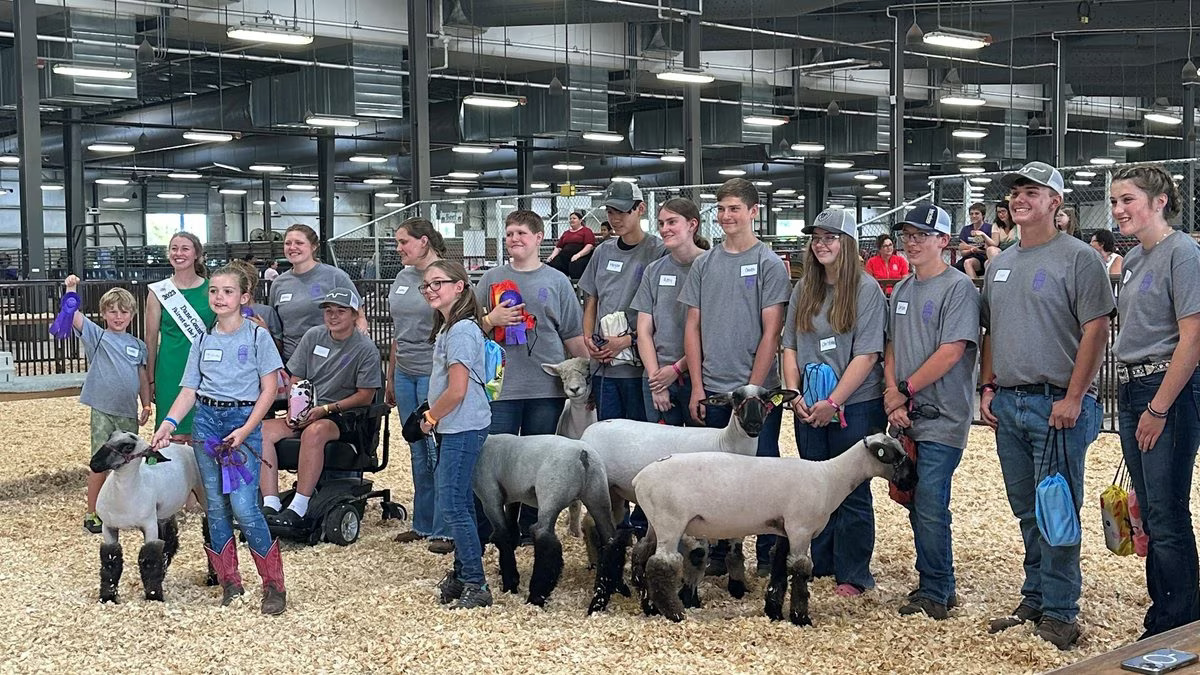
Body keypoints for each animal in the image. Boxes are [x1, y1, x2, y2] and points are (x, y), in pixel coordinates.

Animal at [91, 427, 206, 600]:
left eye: (128, 447)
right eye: (110, 436)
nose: (94, 463)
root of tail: (183, 447)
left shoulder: (149, 526)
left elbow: (149, 559)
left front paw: (153, 596)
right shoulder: (108, 527)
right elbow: (110, 561)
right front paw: (108, 597)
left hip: (203, 498)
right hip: (164, 512)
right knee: (169, 541)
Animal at [468, 429, 619, 610]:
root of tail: (583, 455)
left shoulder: (490, 498)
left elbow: (502, 536)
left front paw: (510, 583)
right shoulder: (514, 496)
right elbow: (511, 529)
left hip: (551, 494)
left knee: (544, 537)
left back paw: (536, 596)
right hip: (598, 494)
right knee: (610, 539)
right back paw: (603, 596)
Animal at [580, 381, 796, 607]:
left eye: (765, 398)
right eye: (736, 398)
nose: (754, 425)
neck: (724, 444)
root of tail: (590, 430)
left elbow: (735, 550)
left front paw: (738, 587)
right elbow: (698, 555)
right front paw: (689, 596)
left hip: (616, 492)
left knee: (594, 522)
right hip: (601, 487)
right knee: (592, 523)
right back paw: (596, 564)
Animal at [633, 432, 912, 624]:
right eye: (896, 456)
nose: (912, 480)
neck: (831, 478)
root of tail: (639, 479)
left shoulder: (786, 530)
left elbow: (778, 567)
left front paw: (774, 612)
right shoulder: (801, 528)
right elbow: (800, 570)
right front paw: (801, 618)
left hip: (654, 522)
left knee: (642, 554)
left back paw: (649, 606)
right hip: (670, 521)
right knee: (661, 565)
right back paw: (675, 613)